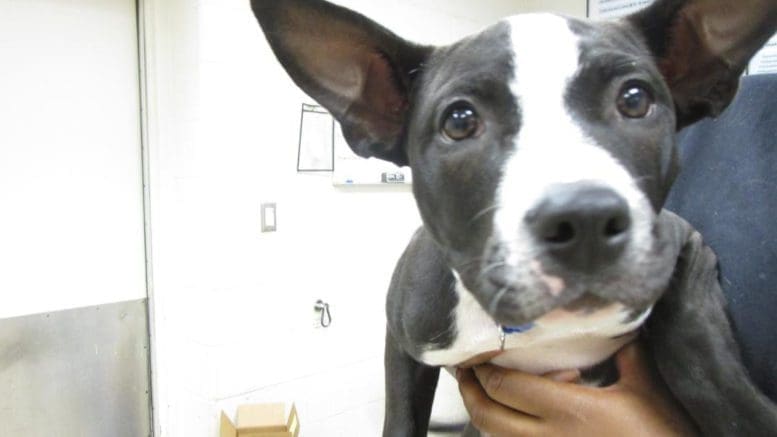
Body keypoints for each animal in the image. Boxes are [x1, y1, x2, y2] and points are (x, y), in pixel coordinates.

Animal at [250, 1, 776, 434]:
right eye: (460, 121)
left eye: (634, 99)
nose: (584, 221)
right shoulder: (403, 342)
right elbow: (400, 420)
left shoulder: (679, 240)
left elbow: (699, 353)